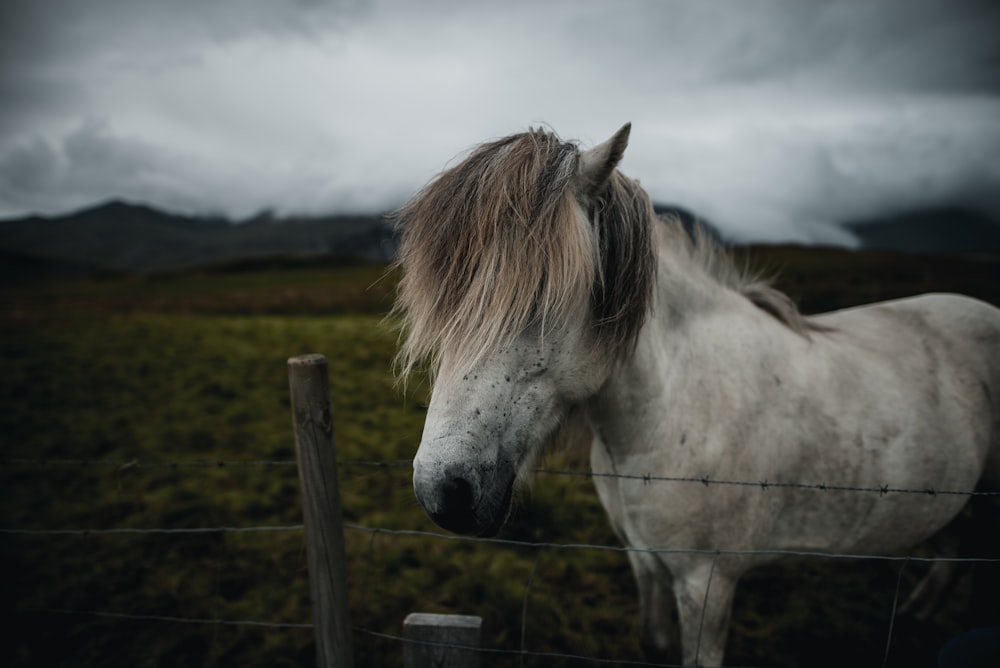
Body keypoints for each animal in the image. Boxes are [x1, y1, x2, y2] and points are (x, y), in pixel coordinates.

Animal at [392, 124, 1000, 664]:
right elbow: (654, 644)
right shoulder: (644, 561)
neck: (669, 415)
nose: (443, 491)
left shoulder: (707, 581)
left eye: (543, 298)